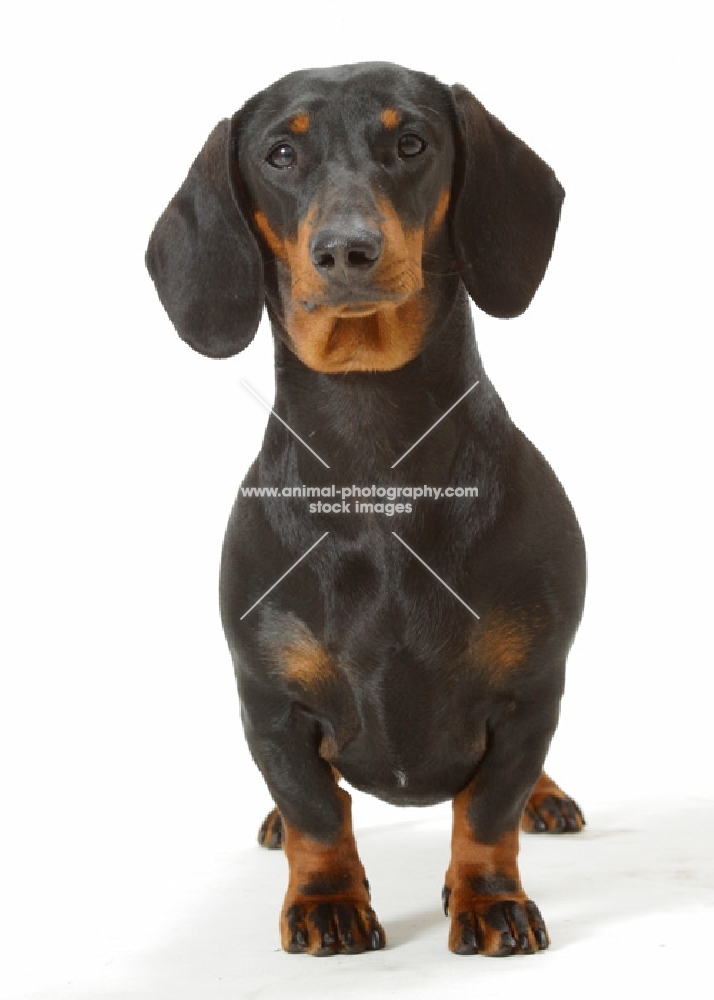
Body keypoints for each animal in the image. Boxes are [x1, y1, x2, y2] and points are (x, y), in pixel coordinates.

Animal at [146, 60, 584, 952]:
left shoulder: (530, 694)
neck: (377, 465)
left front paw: (490, 899)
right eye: (280, 154)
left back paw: (547, 797)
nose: (347, 250)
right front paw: (326, 901)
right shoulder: (270, 703)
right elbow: (316, 810)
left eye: (411, 142)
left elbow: (487, 810)